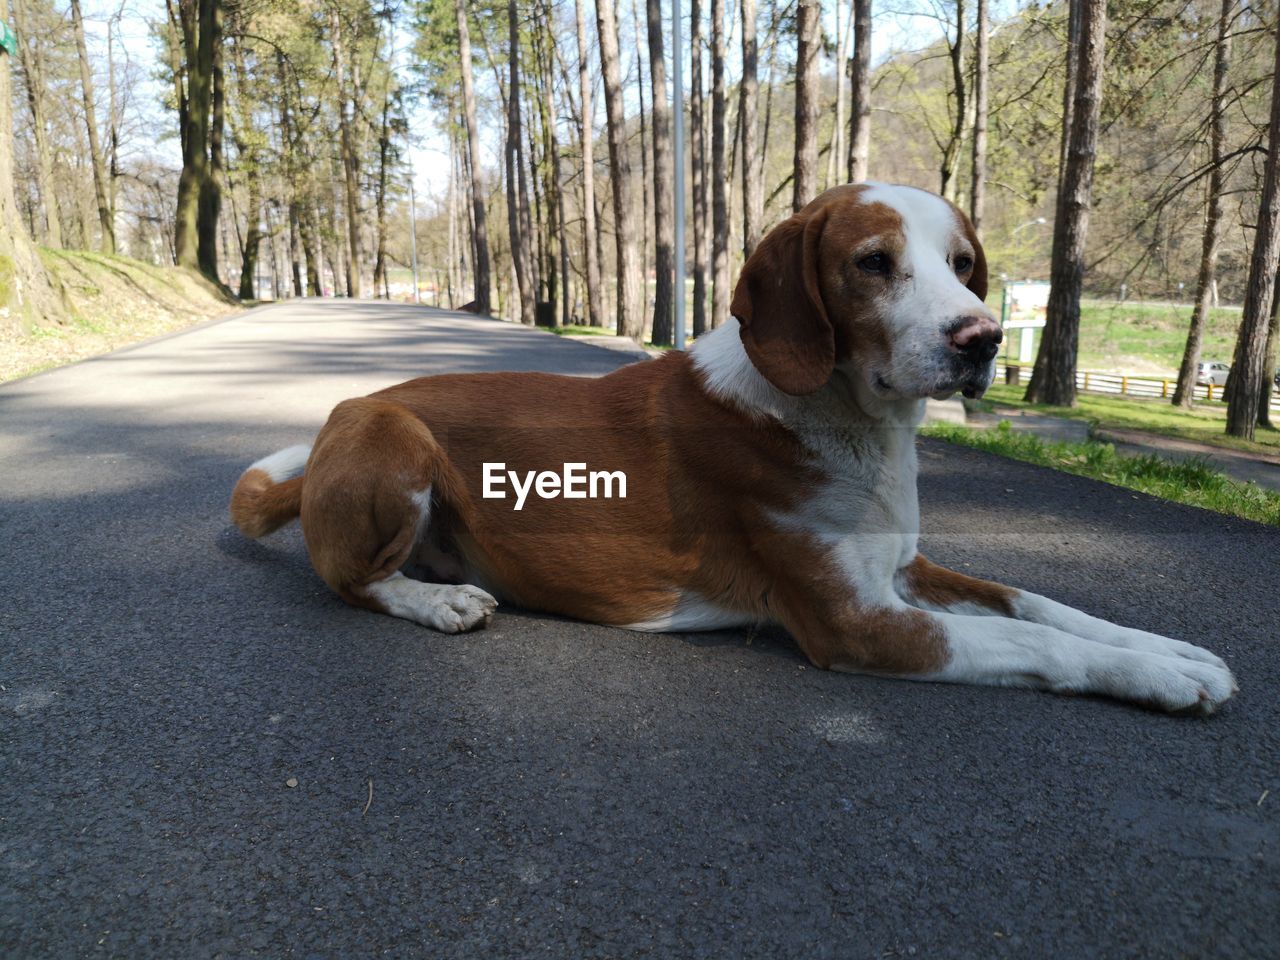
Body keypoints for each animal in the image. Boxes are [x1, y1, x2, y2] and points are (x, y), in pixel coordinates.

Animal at [232, 185, 1239, 716]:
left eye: (963, 264)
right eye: (874, 263)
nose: (984, 339)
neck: (851, 425)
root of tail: (344, 420)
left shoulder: (901, 570)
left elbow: (1042, 605)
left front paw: (1169, 649)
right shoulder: (856, 622)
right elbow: (1037, 642)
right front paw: (1155, 677)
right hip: (391, 433)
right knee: (351, 580)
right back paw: (436, 601)